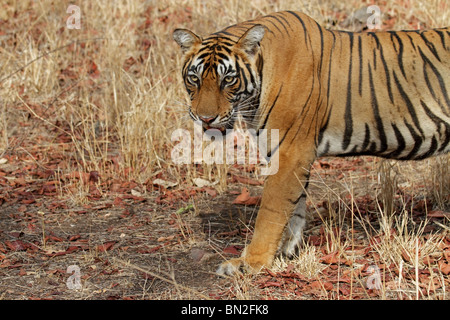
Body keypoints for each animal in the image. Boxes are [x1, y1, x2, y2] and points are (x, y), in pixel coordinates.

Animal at [173, 10, 450, 276]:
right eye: (194, 78)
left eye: (228, 80)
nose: (205, 118)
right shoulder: (293, 156)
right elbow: (295, 208)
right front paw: (287, 252)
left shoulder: (290, 153)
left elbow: (270, 212)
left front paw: (250, 263)